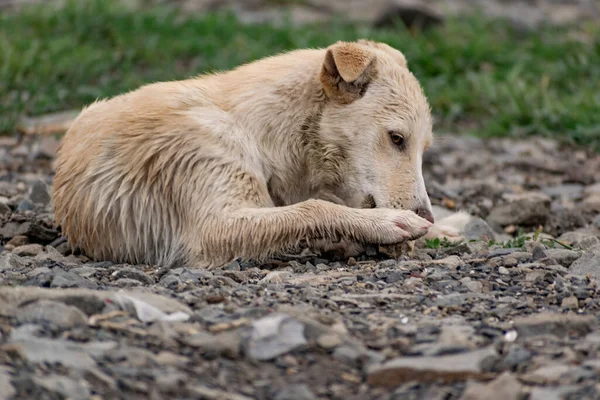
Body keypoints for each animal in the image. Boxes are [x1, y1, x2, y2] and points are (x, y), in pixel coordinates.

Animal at [52, 39, 460, 268]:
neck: (260, 132)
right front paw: (389, 224)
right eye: (397, 138)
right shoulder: (212, 226)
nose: (425, 214)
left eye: (424, 149)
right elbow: (313, 208)